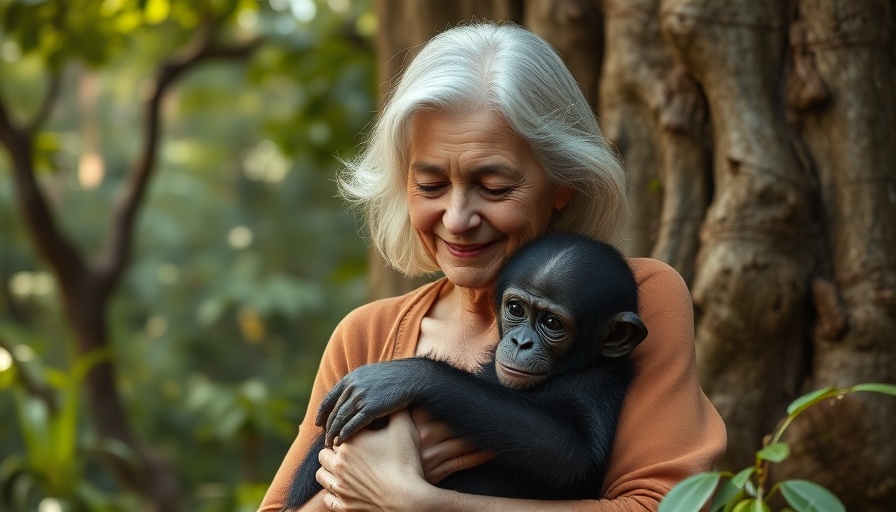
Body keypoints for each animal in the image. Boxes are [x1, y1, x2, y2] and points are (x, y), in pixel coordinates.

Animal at [282, 232, 647, 508]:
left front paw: (404, 378)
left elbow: (570, 450)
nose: (522, 342)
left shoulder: (597, 384)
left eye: (552, 323)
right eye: (517, 309)